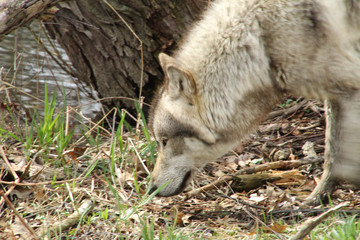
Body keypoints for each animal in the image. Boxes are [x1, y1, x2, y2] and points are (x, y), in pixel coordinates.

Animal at [148, 0, 360, 200]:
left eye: (164, 142)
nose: (151, 189)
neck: (262, 41)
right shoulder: (336, 90)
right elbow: (332, 151)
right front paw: (320, 196)